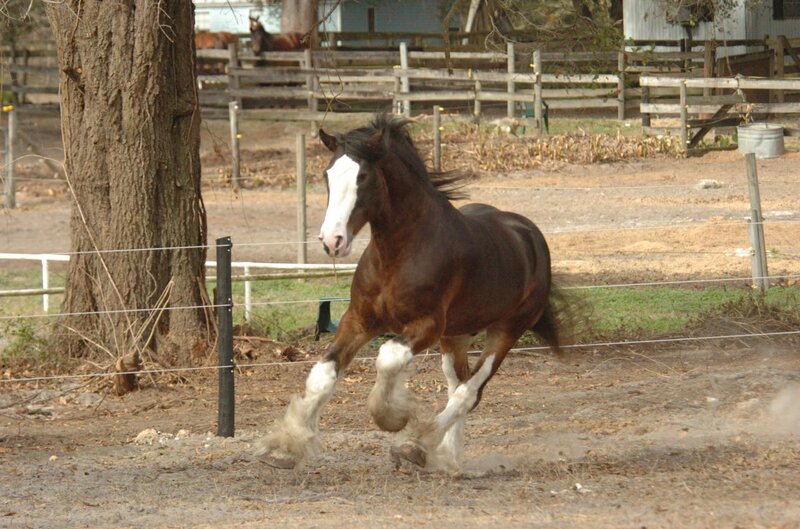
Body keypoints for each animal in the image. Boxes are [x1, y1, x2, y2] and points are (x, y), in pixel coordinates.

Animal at [257, 114, 561, 471]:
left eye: (362, 176)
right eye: (327, 174)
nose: (332, 241)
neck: (398, 254)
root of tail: (530, 234)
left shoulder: (426, 325)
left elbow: (389, 357)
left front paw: (392, 417)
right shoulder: (358, 320)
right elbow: (323, 374)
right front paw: (286, 445)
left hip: (507, 329)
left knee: (469, 392)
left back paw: (417, 446)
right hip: (456, 335)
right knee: (458, 384)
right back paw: (448, 458)